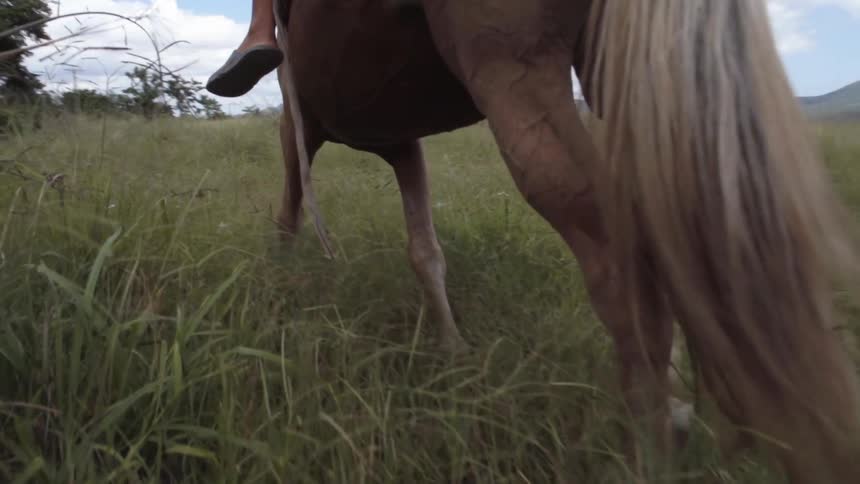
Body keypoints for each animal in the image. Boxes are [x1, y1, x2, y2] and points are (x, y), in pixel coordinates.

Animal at [273, 1, 860, 481]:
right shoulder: (400, 139)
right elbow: (424, 251)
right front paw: (453, 350)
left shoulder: (301, 116)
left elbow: (290, 212)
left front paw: (277, 290)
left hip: (513, 68)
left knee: (618, 256)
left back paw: (655, 441)